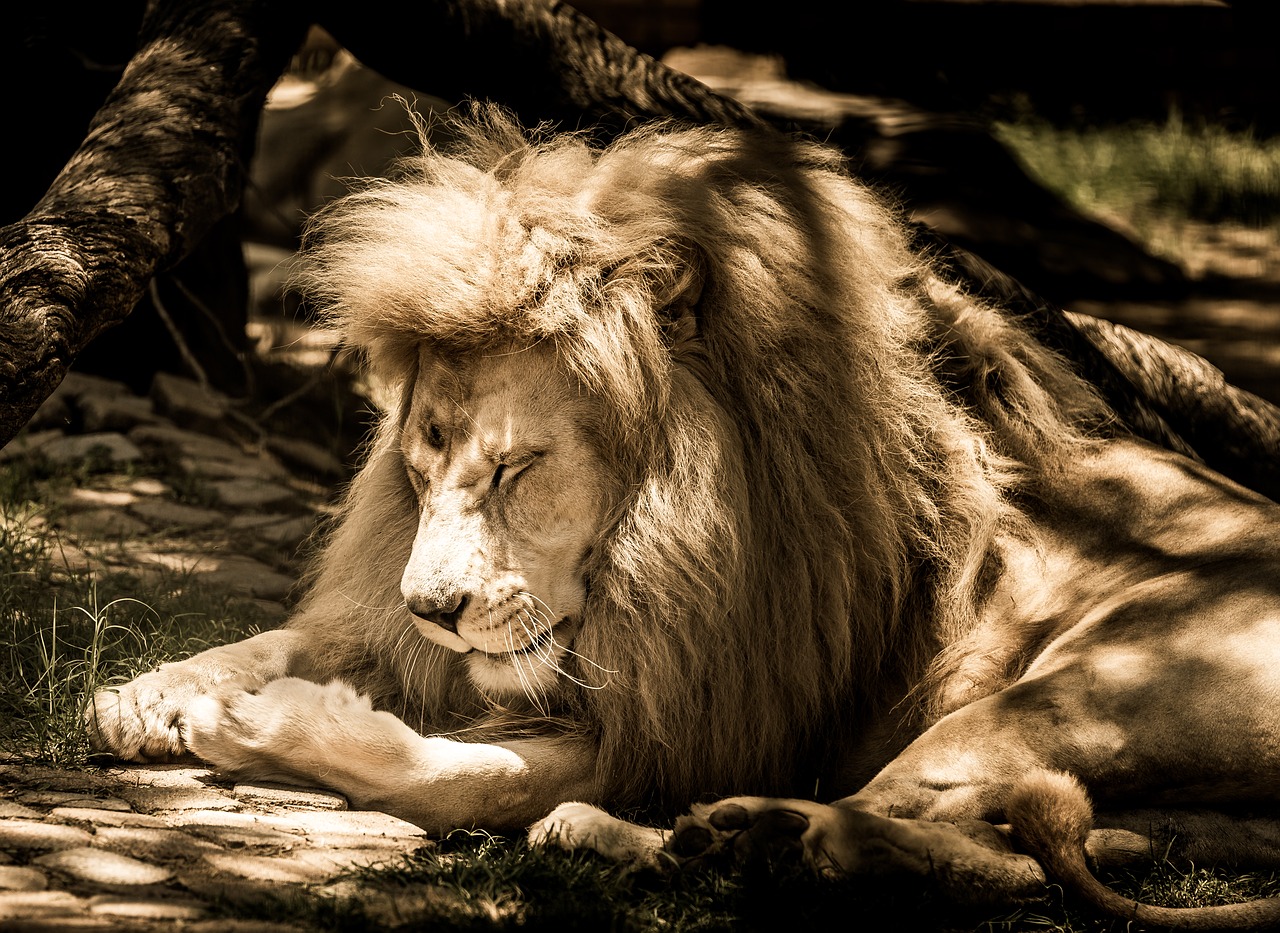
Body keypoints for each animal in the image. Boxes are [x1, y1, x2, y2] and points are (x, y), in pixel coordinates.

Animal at [90, 105, 1280, 921]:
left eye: (516, 468)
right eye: (423, 460)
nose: (431, 608)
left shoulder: (697, 717)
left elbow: (467, 775)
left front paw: (269, 724)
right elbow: (289, 638)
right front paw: (151, 692)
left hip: (1060, 693)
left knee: (928, 828)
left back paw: (713, 837)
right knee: (1023, 853)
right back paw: (712, 843)